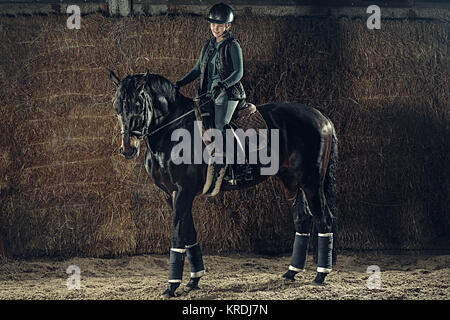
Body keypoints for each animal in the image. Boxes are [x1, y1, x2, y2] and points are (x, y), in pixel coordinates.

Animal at [110, 69, 338, 298]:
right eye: (116, 106)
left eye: (138, 104)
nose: (128, 149)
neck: (172, 130)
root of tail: (322, 118)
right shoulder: (171, 194)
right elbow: (189, 233)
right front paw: (194, 280)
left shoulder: (183, 192)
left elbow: (177, 235)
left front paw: (172, 286)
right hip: (290, 181)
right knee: (302, 218)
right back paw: (291, 272)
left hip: (311, 182)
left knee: (324, 219)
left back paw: (320, 275)